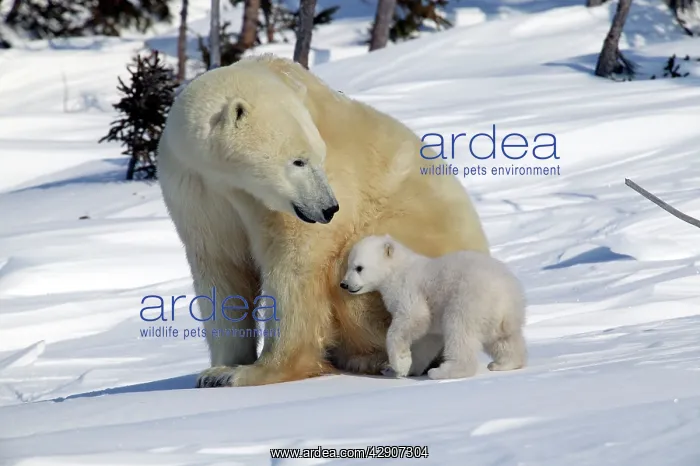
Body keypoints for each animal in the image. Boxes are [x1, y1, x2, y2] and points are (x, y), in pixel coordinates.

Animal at [156, 53, 490, 388]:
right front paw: (217, 370)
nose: (330, 208)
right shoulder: (197, 192)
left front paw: (253, 372)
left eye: (318, 157)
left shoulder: (288, 206)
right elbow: (221, 269)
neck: (232, 185)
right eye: (298, 161)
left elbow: (295, 267)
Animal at [340, 234, 527, 380]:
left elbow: (414, 317)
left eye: (358, 267)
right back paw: (503, 363)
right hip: (496, 317)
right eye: (348, 265)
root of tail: (508, 297)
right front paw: (402, 369)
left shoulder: (408, 288)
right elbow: (428, 337)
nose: (344, 284)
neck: (398, 269)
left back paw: (442, 371)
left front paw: (399, 364)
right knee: (505, 341)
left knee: (459, 331)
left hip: (469, 300)